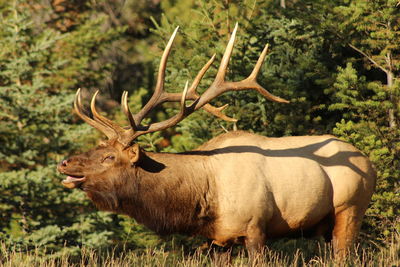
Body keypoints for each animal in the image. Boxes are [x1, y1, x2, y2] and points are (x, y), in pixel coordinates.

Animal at [57, 24, 376, 258]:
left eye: (109, 157)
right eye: (98, 147)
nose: (64, 163)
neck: (201, 199)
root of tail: (369, 163)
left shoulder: (255, 227)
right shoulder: (219, 240)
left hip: (350, 208)